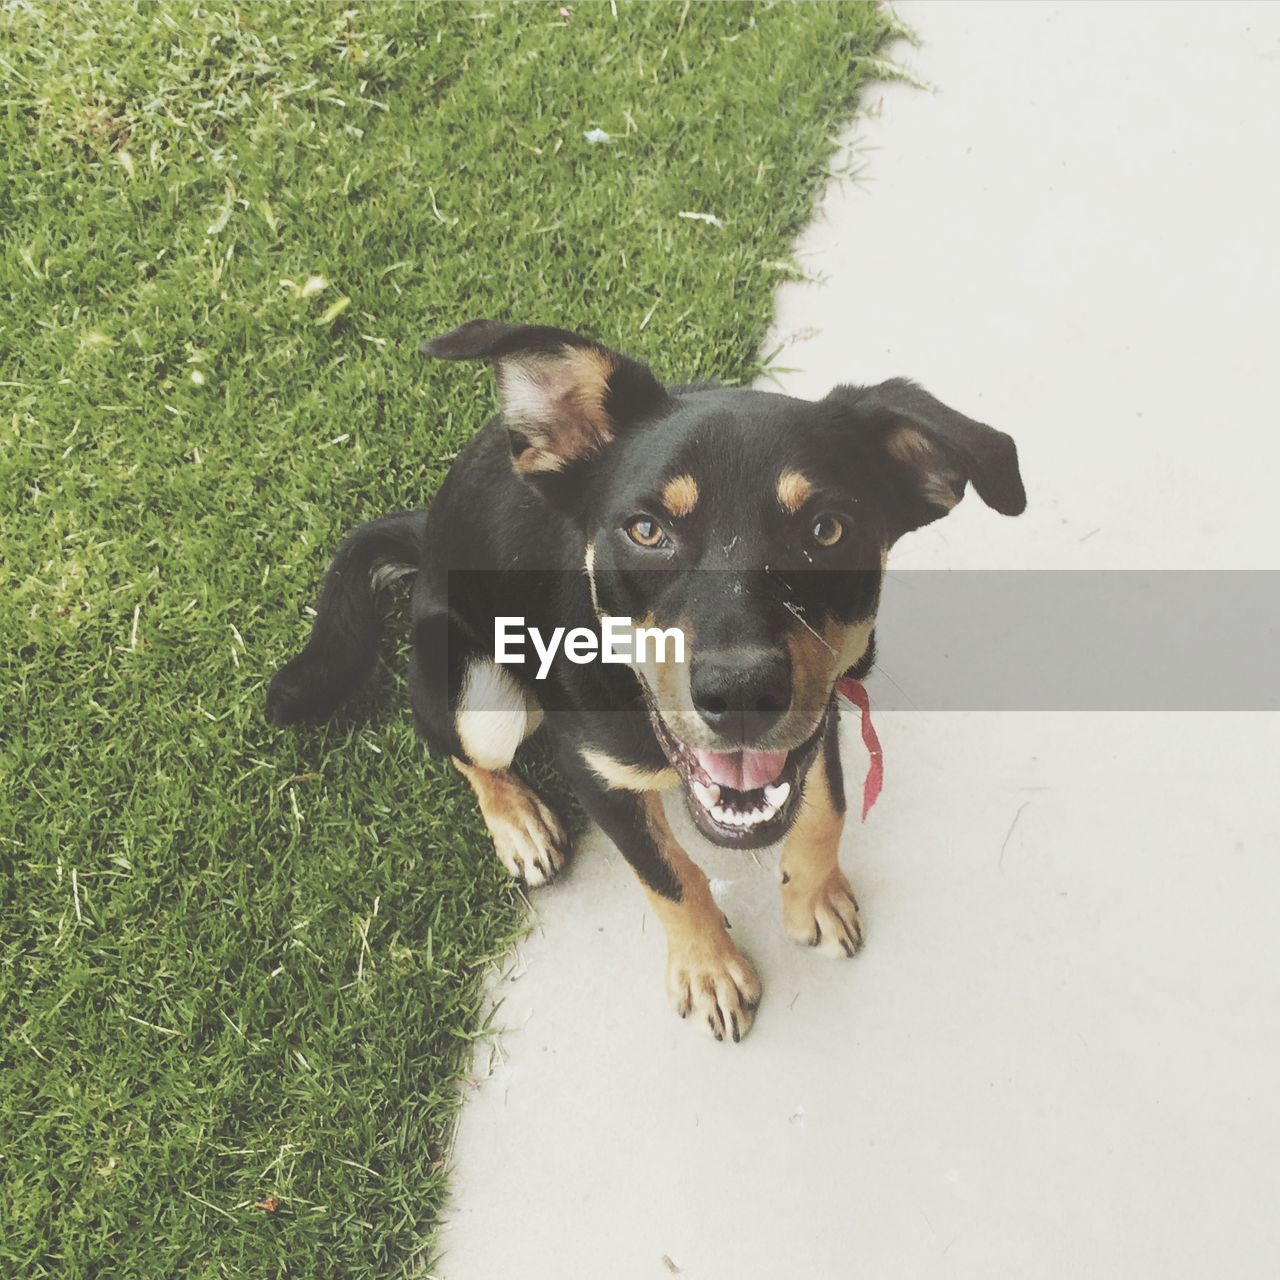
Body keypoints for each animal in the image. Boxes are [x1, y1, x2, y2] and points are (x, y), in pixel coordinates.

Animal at [264, 320, 1024, 1039]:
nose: (741, 696)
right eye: (646, 530)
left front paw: (814, 894)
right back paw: (520, 824)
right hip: (477, 694)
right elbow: (670, 875)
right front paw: (710, 969)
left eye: (828, 530)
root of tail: (424, 539)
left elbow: (826, 808)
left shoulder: (826, 709)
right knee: (462, 751)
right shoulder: (592, 770)